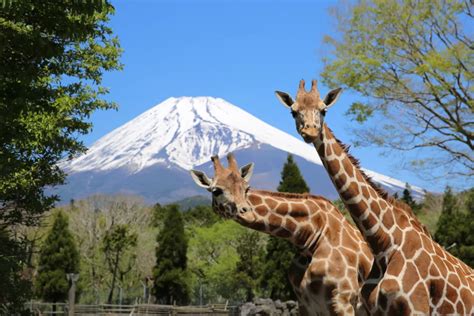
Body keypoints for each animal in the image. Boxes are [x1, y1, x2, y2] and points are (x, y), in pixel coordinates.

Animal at [190, 152, 374, 314]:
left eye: (246, 188)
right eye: (216, 191)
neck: (312, 236)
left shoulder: (341, 300)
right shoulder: (305, 303)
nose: (247, 212)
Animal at [274, 79, 474, 314]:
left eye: (323, 110)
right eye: (294, 112)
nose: (310, 131)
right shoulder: (374, 308)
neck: (383, 243)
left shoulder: (416, 307)